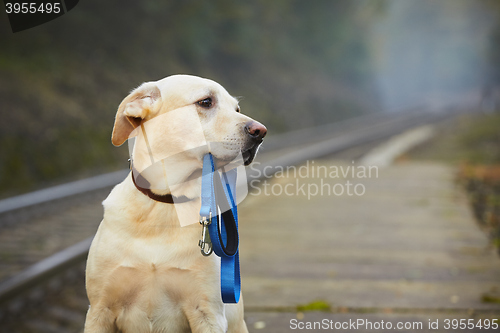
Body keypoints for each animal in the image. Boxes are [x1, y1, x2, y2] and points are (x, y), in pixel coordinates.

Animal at [84, 74, 268, 330]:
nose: (261, 131)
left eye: (237, 109)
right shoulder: (99, 310)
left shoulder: (208, 313)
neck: (165, 203)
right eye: (206, 102)